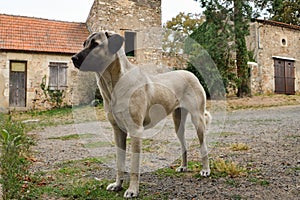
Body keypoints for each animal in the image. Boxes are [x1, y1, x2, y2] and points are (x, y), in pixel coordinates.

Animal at [72, 31, 212, 198]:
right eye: (84, 44)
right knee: (183, 143)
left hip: (198, 119)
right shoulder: (118, 131)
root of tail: (191, 73)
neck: (114, 84)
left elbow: (134, 165)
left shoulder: (135, 131)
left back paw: (205, 170)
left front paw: (132, 190)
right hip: (178, 123)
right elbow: (119, 162)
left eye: (95, 44)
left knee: (203, 146)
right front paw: (117, 185)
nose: (73, 58)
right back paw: (183, 167)